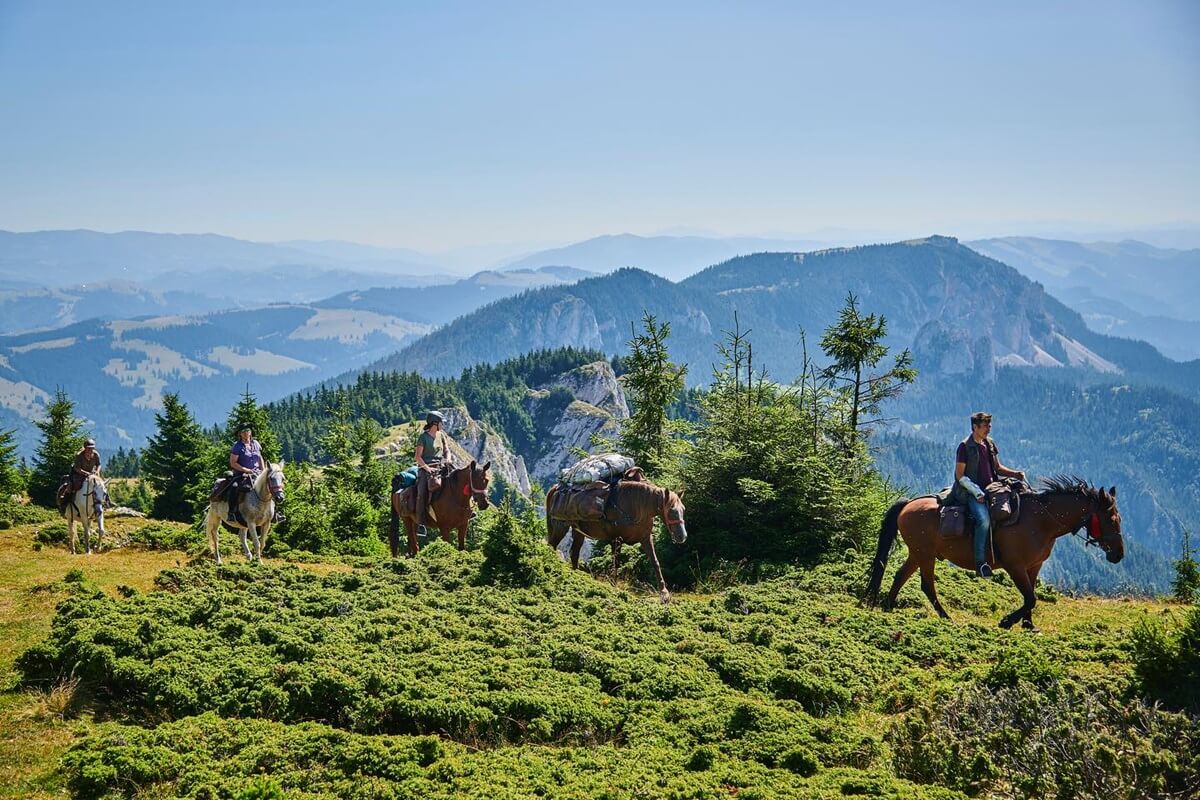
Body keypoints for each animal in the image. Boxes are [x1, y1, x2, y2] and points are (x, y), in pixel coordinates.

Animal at [544, 479, 686, 604]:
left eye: (683, 509)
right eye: (671, 511)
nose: (682, 536)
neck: (635, 506)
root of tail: (555, 488)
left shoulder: (646, 538)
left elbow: (655, 562)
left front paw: (664, 593)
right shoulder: (616, 540)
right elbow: (616, 563)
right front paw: (614, 586)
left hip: (578, 532)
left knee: (574, 554)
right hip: (560, 527)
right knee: (552, 546)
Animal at [868, 474, 1118, 633]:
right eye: (1112, 518)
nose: (1118, 555)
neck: (1040, 521)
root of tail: (908, 504)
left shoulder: (1033, 566)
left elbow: (1031, 596)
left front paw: (1028, 625)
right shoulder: (1015, 566)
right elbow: (1030, 598)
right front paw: (1007, 621)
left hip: (918, 553)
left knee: (901, 576)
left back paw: (888, 607)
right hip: (925, 554)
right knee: (926, 585)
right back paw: (946, 618)